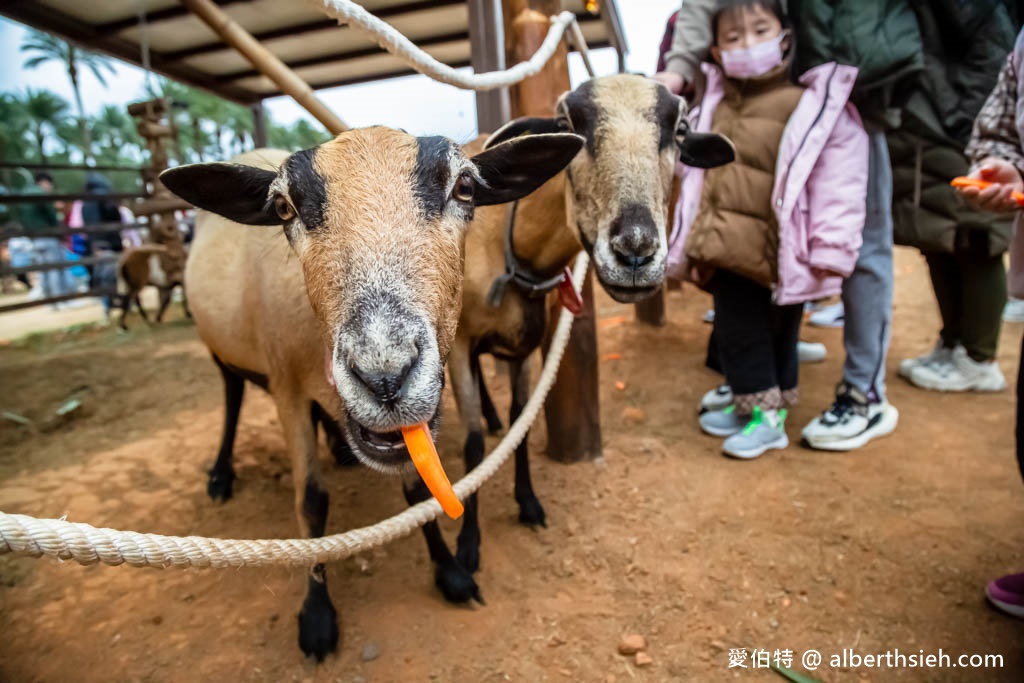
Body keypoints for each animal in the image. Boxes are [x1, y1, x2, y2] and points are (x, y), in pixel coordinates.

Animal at [155, 126, 581, 663]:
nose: (385, 377)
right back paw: (220, 474)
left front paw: (450, 573)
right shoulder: (287, 393)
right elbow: (311, 502)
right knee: (232, 394)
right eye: (283, 208)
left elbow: (417, 492)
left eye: (465, 188)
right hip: (220, 346)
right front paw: (317, 617)